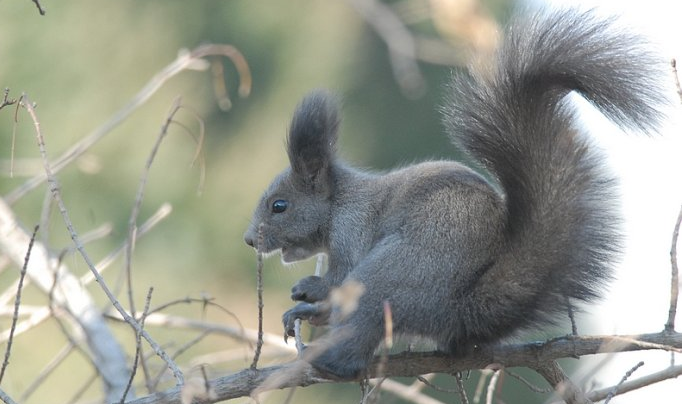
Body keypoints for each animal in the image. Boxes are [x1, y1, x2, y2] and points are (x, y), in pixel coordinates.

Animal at [243, 8, 664, 378]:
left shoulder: (353, 231)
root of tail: (456, 311)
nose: (249, 240)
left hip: (391, 274)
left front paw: (308, 290)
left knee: (361, 325)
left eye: (279, 206)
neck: (339, 204)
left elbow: (338, 282)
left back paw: (327, 364)